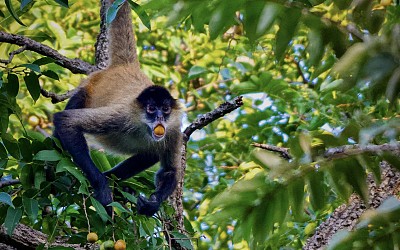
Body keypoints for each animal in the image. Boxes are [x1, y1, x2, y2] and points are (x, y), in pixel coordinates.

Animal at [52, 0, 183, 216]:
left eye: (165, 109)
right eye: (151, 108)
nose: (159, 118)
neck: (143, 128)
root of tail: (126, 67)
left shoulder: (173, 129)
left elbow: (169, 171)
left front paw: (152, 204)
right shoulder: (122, 115)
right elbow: (65, 121)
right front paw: (102, 186)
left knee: (151, 153)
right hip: (87, 89)